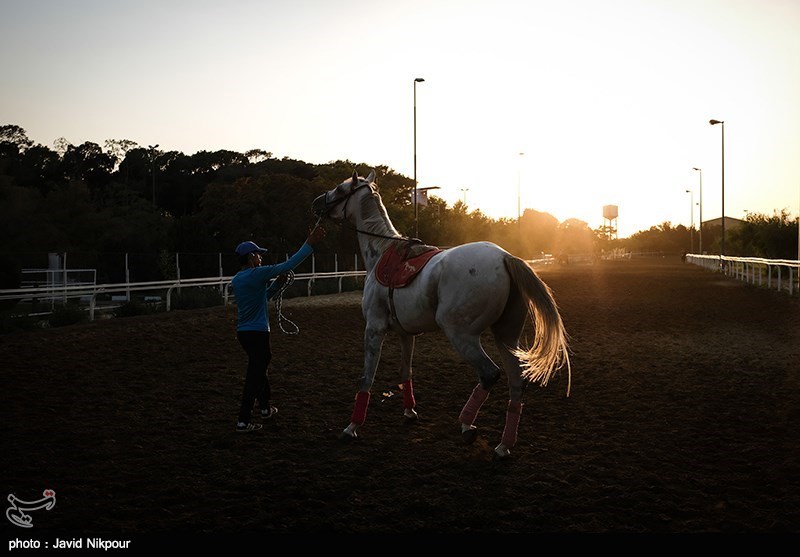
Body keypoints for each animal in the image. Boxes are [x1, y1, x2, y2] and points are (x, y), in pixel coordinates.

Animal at [310, 169, 568, 456]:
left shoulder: (374, 329)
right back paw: (503, 445)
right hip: (506, 336)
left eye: (340, 189)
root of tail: (505, 257)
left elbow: (366, 378)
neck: (380, 253)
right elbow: (406, 372)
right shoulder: (406, 334)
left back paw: (467, 425)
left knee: (489, 374)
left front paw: (352, 428)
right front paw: (409, 412)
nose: (317, 202)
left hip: (460, 334)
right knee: (516, 383)